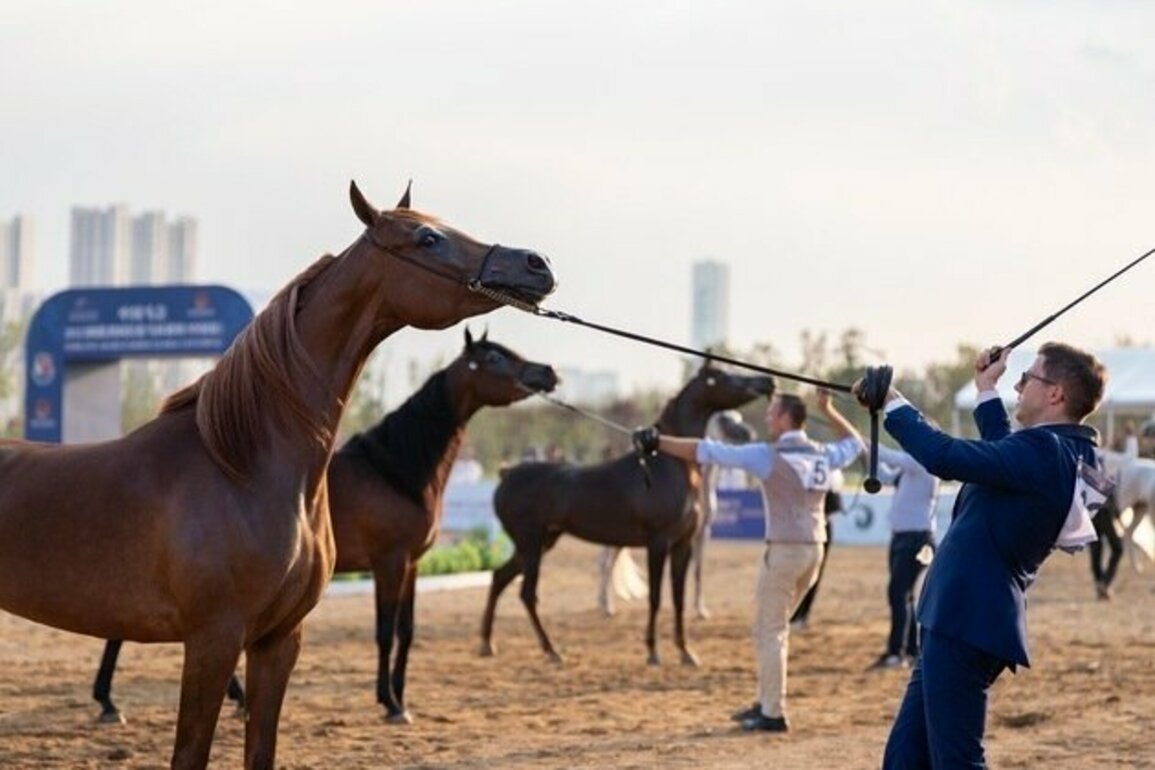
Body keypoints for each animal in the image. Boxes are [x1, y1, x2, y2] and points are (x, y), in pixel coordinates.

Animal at [92, 329, 558, 726]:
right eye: (495, 357)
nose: (547, 373)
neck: (396, 470)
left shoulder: (412, 564)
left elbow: (406, 631)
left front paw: (402, 698)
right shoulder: (388, 562)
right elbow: (384, 632)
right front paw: (390, 703)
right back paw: (110, 702)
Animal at [597, 409, 756, 619]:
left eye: (739, 418)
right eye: (724, 419)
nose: (750, 434)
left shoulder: (703, 532)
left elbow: (698, 570)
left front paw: (701, 610)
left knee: (609, 563)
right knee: (605, 563)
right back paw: (606, 607)